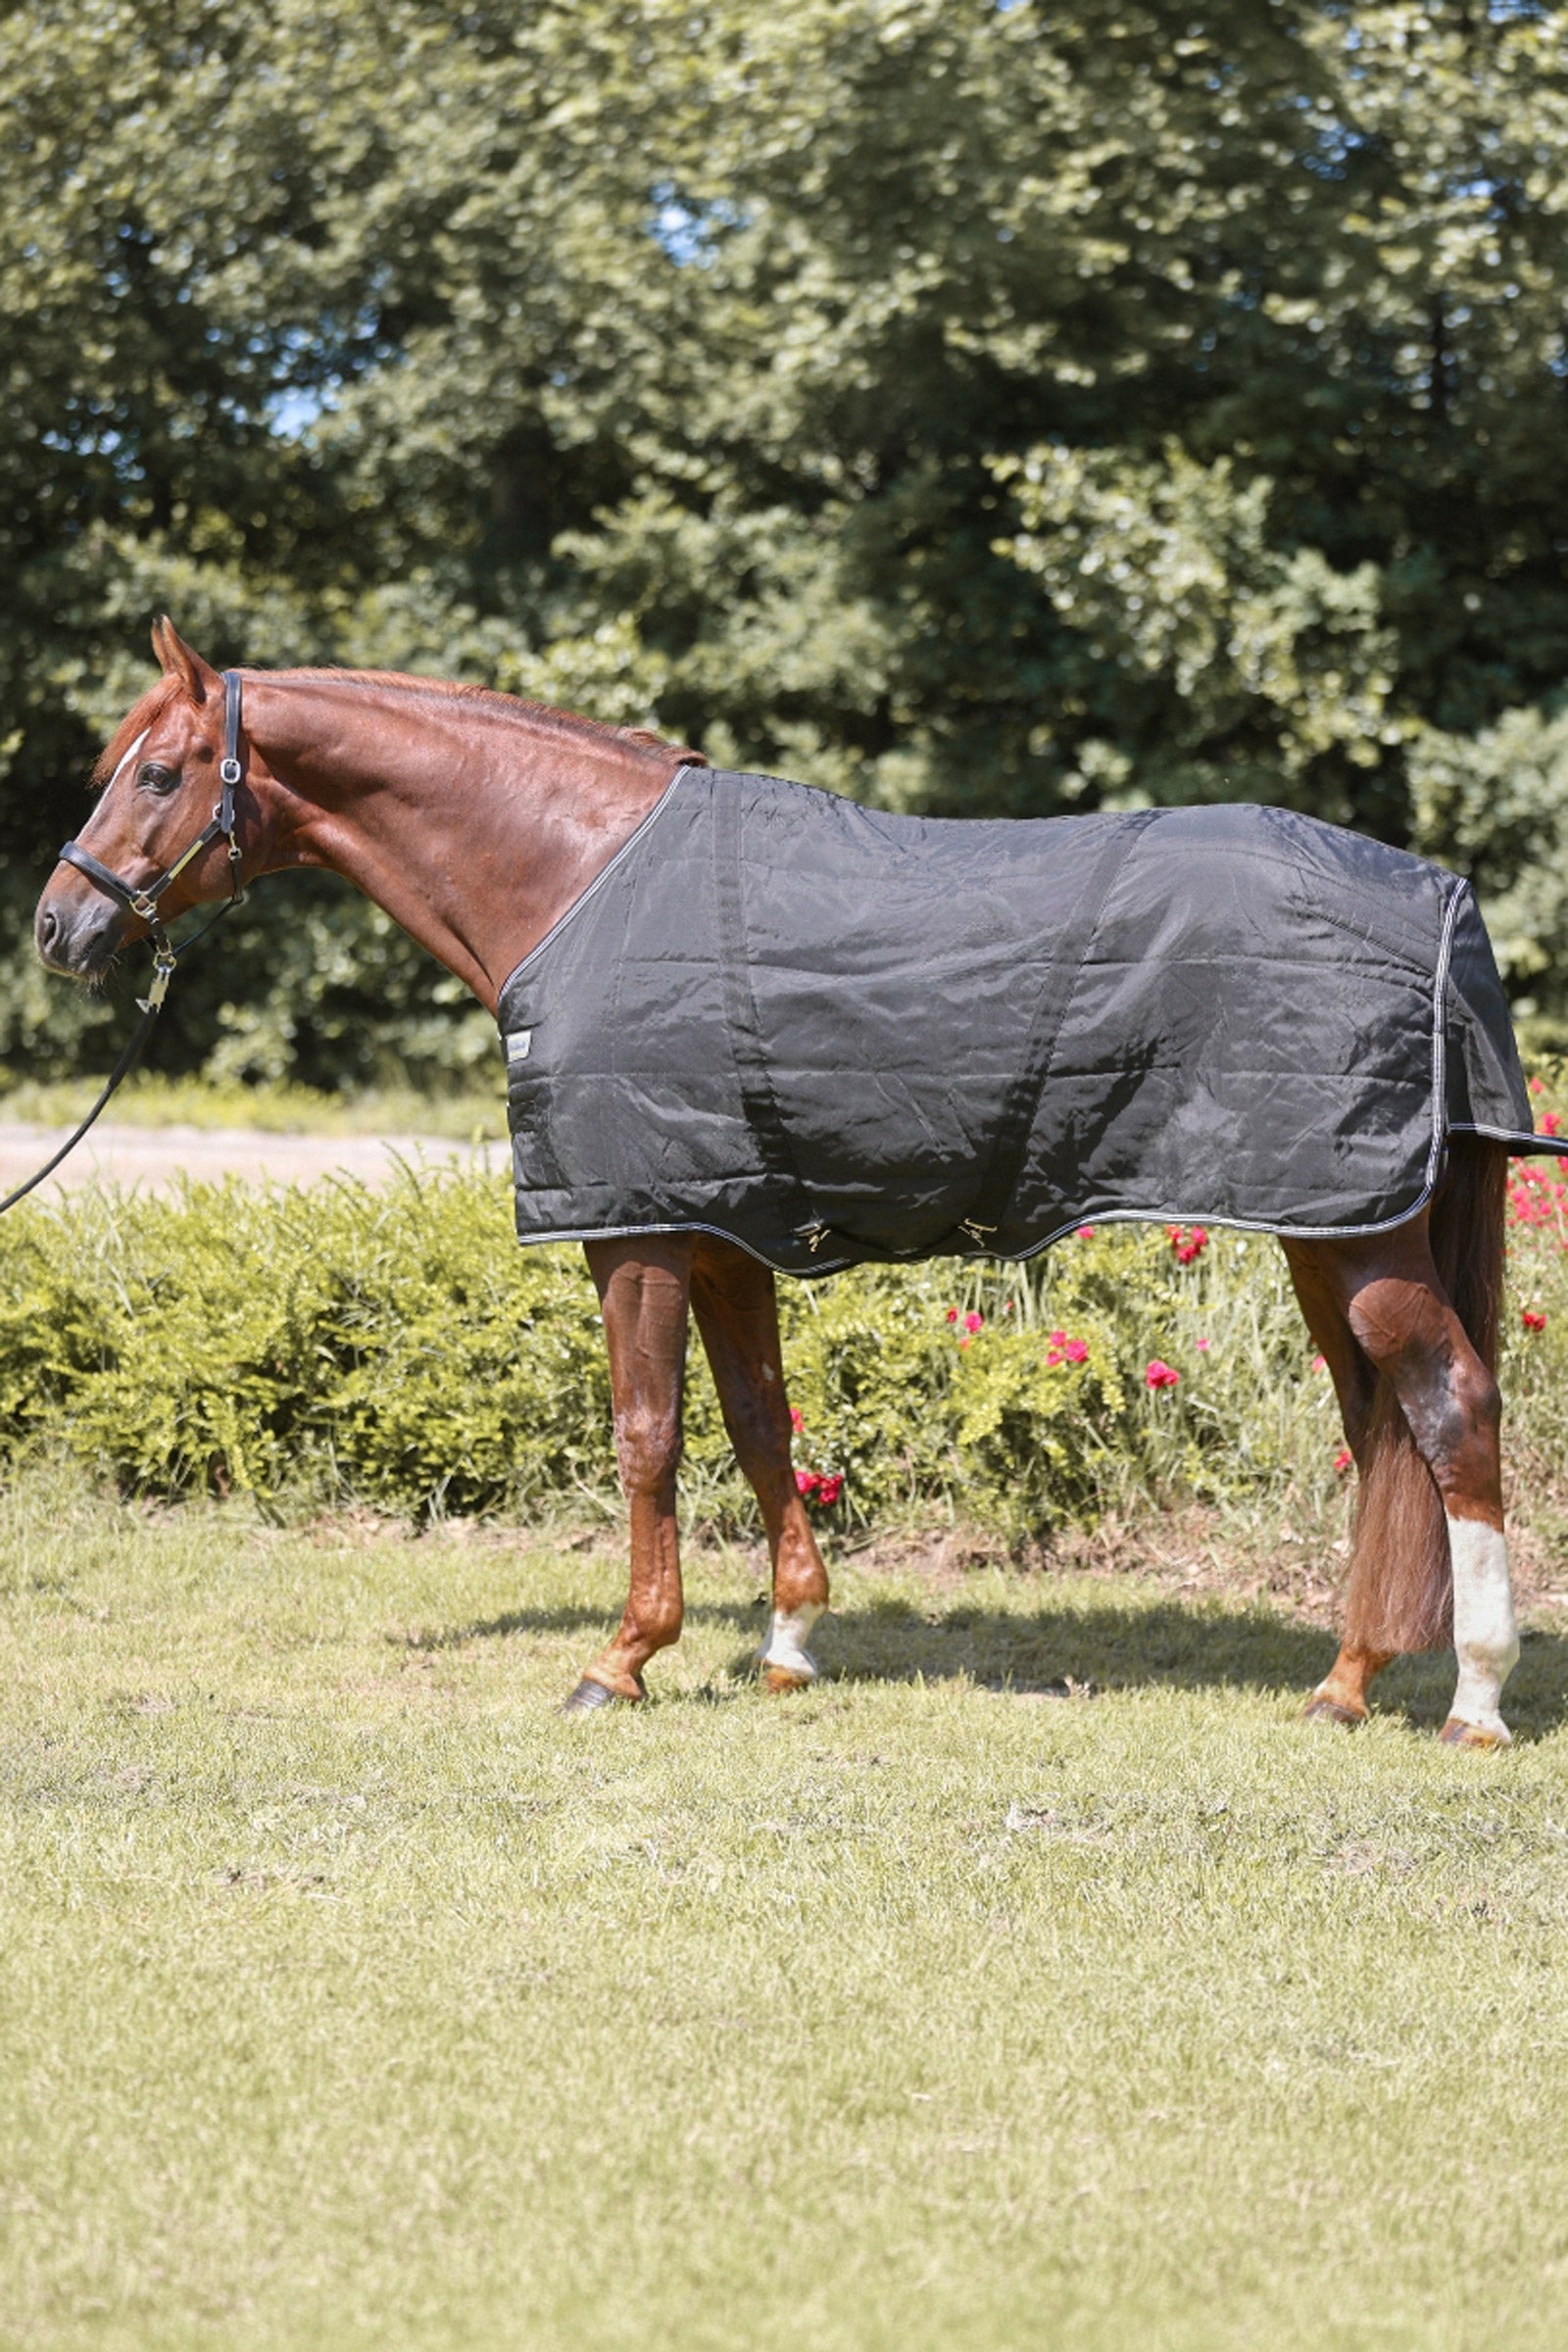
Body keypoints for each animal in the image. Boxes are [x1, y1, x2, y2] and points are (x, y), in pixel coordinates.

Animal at [32, 618, 1539, 1747]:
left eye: (157, 774)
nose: (60, 925)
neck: (573, 872)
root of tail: (1437, 899)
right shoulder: (722, 1231)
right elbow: (761, 1423)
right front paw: (788, 1643)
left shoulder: (634, 1229)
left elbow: (645, 1434)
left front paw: (620, 1659)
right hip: (1328, 1224)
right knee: (1379, 1429)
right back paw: (1346, 1681)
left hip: (1353, 1233)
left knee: (1449, 1409)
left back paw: (1473, 1699)